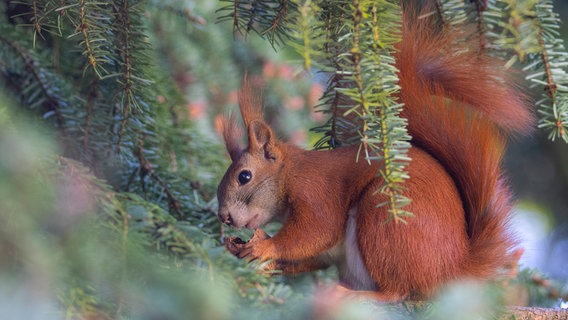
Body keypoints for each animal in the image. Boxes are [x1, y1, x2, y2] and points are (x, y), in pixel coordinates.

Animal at [214, 11, 532, 302]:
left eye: (244, 176)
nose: (224, 216)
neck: (291, 173)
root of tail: (451, 270)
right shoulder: (327, 253)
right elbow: (311, 256)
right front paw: (248, 252)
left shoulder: (316, 192)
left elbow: (316, 231)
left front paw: (265, 247)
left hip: (384, 223)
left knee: (396, 291)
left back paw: (355, 295)